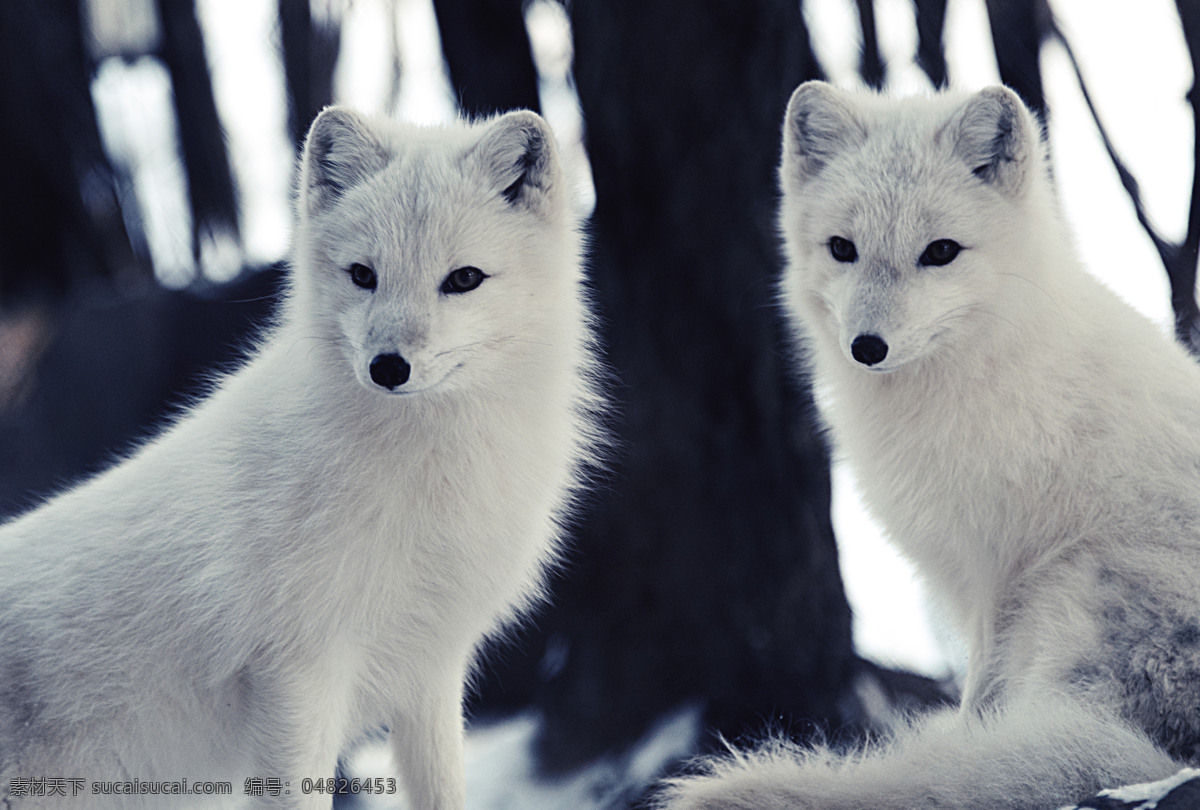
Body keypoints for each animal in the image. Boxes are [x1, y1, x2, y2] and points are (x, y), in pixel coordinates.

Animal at [0, 108, 600, 810]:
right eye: (363, 274)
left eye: (464, 279)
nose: (388, 367)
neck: (426, 477)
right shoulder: (299, 672)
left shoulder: (429, 671)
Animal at [657, 82, 1200, 810]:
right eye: (842, 248)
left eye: (941, 252)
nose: (867, 347)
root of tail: (1164, 751)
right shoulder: (972, 571)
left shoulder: (997, 568)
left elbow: (980, 695)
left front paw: (968, 738)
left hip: (1069, 586)